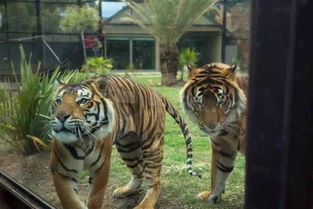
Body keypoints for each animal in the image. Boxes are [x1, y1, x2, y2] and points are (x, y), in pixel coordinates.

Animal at [49, 75, 199, 209]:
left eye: (83, 101)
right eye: (58, 101)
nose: (61, 116)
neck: (82, 140)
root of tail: (153, 90)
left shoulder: (101, 167)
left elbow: (95, 198)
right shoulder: (61, 171)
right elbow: (70, 200)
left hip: (152, 145)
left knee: (154, 181)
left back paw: (144, 205)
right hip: (128, 148)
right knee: (139, 172)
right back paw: (124, 191)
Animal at [179, 62, 247, 203]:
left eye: (221, 100)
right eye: (198, 102)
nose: (211, 126)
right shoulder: (222, 147)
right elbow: (219, 172)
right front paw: (212, 195)